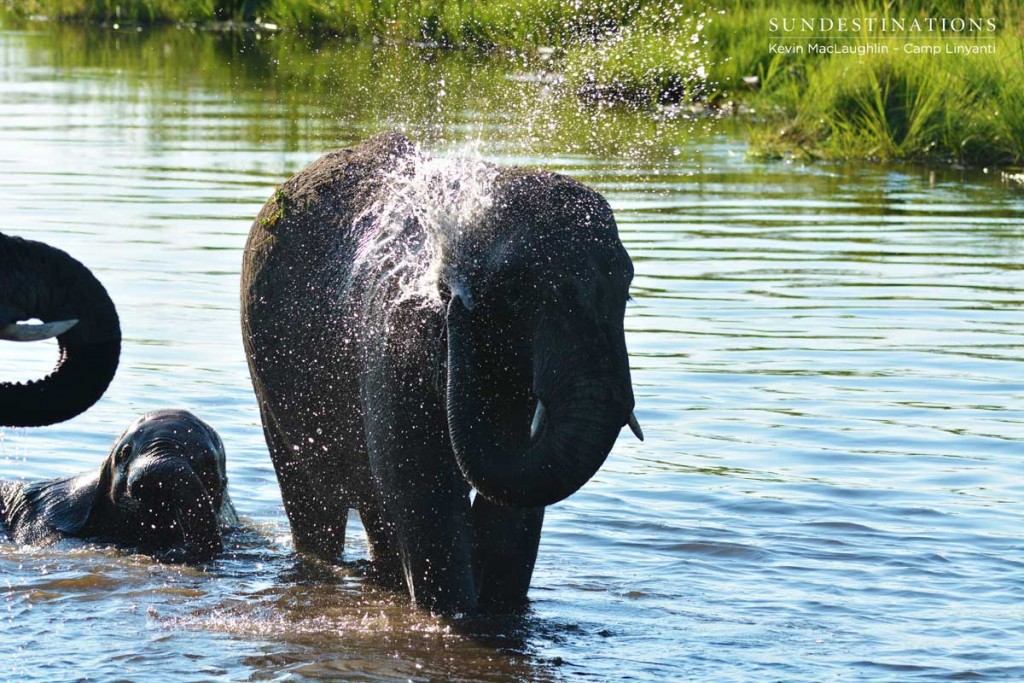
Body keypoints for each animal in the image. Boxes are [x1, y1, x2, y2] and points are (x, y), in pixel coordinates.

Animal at [239, 133, 638, 614]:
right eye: (517, 291)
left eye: (627, 291)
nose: (455, 298)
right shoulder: (394, 342)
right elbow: (425, 495)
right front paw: (459, 619)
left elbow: (513, 504)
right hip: (265, 377)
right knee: (315, 501)